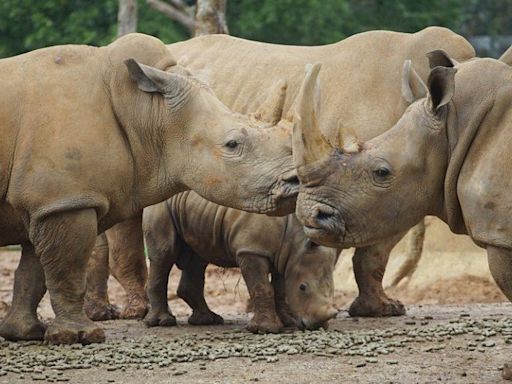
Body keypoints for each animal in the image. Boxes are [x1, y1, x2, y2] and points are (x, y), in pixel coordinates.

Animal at [143, 190, 340, 332]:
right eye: (303, 288)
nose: (317, 326)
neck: (295, 237)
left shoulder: (285, 255)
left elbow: (280, 288)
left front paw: (288, 322)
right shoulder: (251, 250)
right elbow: (262, 288)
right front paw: (265, 330)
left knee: (197, 259)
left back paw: (209, 320)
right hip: (160, 204)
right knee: (164, 255)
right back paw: (163, 323)